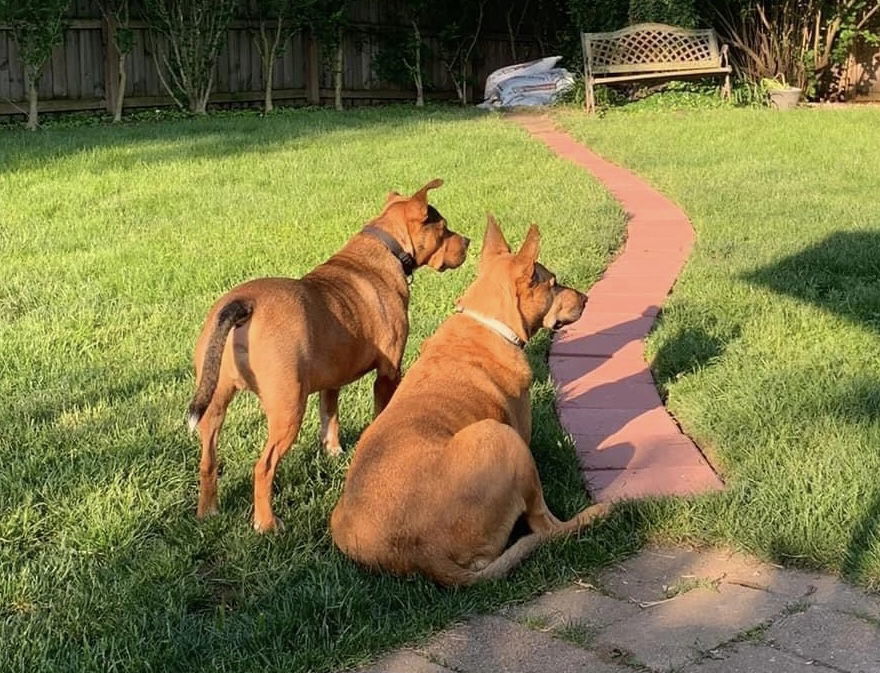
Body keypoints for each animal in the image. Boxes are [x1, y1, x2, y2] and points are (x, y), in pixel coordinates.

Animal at [189, 178, 470, 532]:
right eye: (444, 229)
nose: (468, 241)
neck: (386, 248)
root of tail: (243, 304)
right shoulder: (389, 372)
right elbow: (379, 412)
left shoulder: (331, 378)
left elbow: (330, 415)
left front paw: (333, 451)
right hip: (288, 409)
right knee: (263, 467)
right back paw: (266, 523)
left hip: (213, 403)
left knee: (208, 459)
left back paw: (207, 510)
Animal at [330, 214, 612, 584]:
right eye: (553, 284)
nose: (586, 299)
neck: (489, 324)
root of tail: (424, 554)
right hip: (503, 438)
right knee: (547, 527)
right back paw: (595, 513)